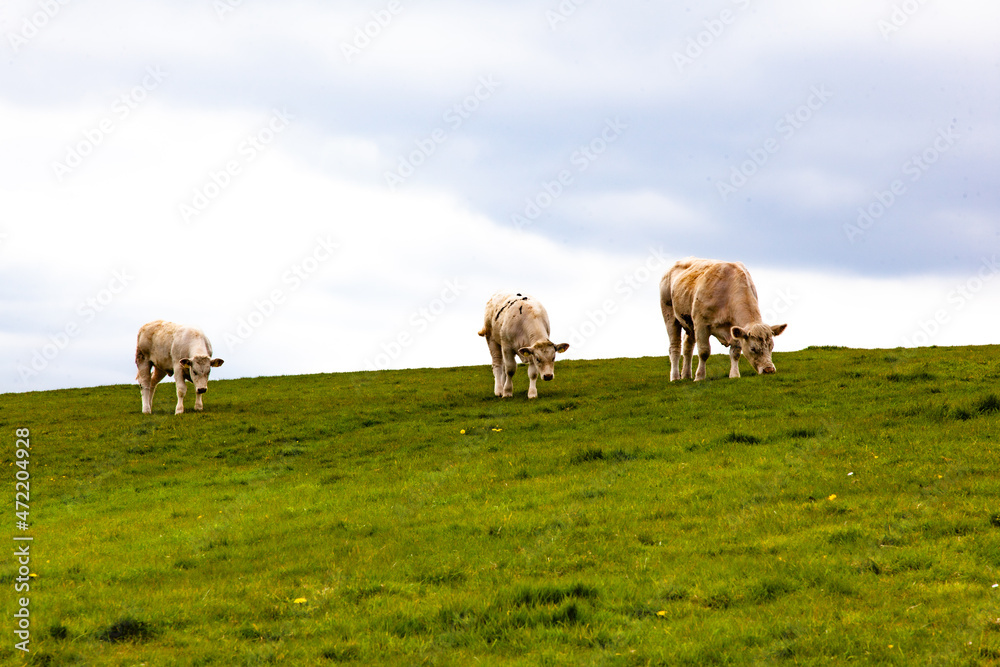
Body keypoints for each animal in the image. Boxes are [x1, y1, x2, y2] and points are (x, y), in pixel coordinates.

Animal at [656, 258, 788, 380]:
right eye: (753, 348)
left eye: (771, 346)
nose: (769, 370)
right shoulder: (701, 324)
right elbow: (704, 352)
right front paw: (699, 376)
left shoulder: (735, 328)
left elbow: (735, 353)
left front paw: (734, 375)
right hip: (670, 315)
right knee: (675, 347)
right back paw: (675, 377)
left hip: (689, 323)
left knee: (688, 346)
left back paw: (686, 375)